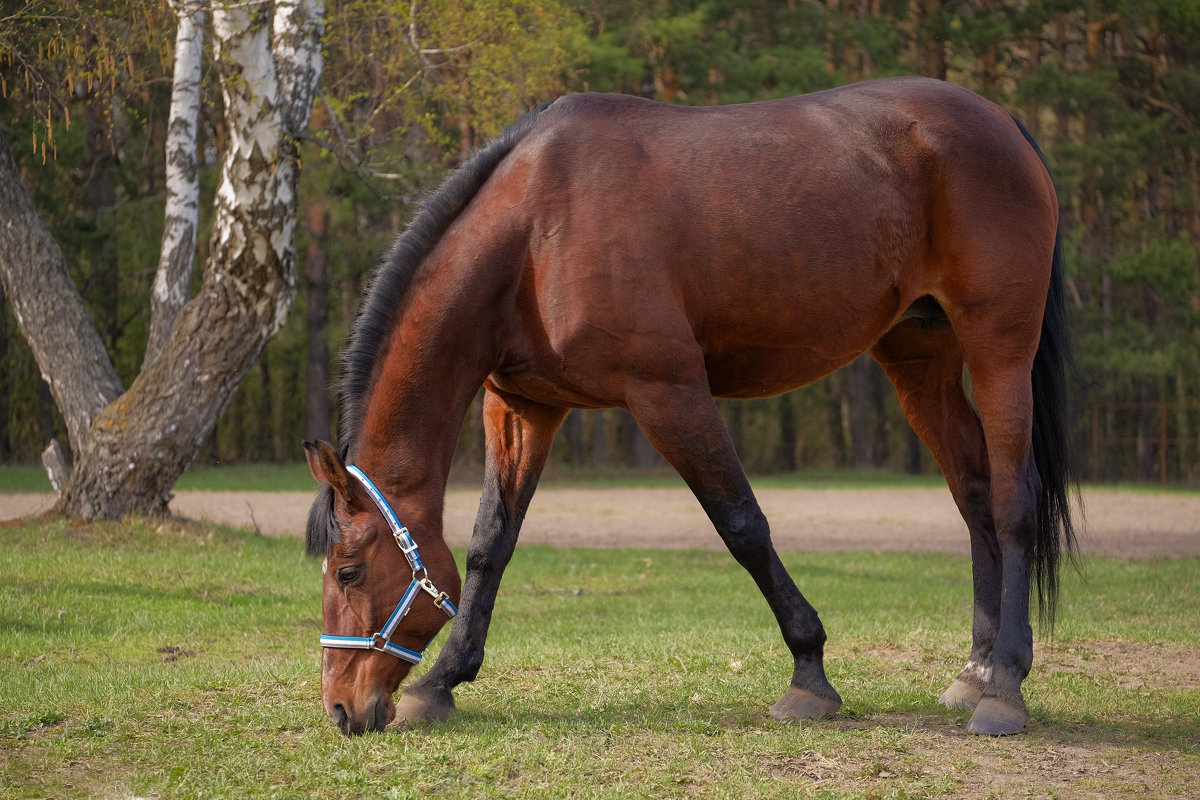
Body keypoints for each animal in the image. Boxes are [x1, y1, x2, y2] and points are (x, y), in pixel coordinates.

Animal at [304, 76, 1075, 738]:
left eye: (347, 571)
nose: (341, 708)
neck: (535, 234)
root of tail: (1000, 119)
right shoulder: (523, 407)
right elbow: (492, 542)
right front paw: (442, 681)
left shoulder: (668, 392)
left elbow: (743, 526)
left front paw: (809, 674)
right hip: (919, 358)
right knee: (972, 493)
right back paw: (977, 671)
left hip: (999, 348)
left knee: (1011, 499)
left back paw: (1004, 688)